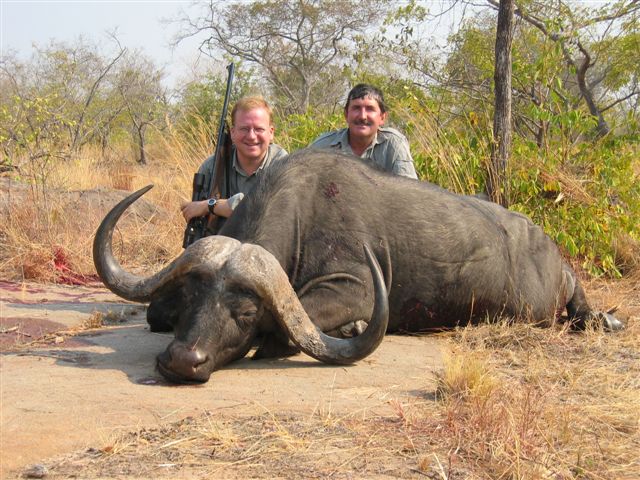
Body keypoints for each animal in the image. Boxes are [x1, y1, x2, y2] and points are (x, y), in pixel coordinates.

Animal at [93, 149, 623, 383]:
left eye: (243, 314)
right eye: (189, 300)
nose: (183, 362)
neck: (305, 209)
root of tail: (551, 249)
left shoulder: (355, 288)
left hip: (544, 306)